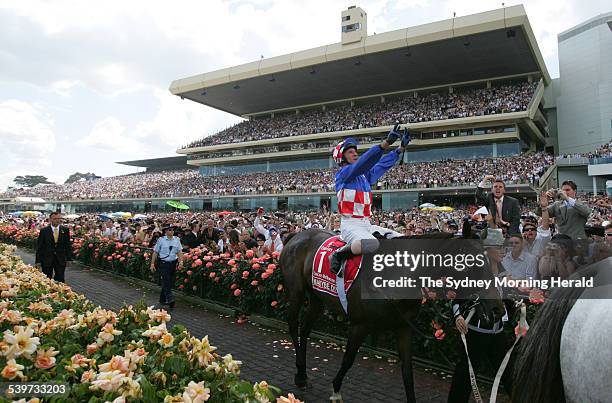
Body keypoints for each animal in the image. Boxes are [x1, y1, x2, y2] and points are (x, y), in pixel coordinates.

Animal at [280, 229, 504, 402]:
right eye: (473, 263)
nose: (498, 309)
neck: (393, 276)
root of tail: (295, 236)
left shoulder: (404, 328)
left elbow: (407, 372)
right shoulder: (359, 325)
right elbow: (348, 360)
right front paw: (335, 390)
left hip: (317, 298)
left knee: (305, 328)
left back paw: (302, 374)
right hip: (296, 292)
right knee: (293, 324)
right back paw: (300, 375)